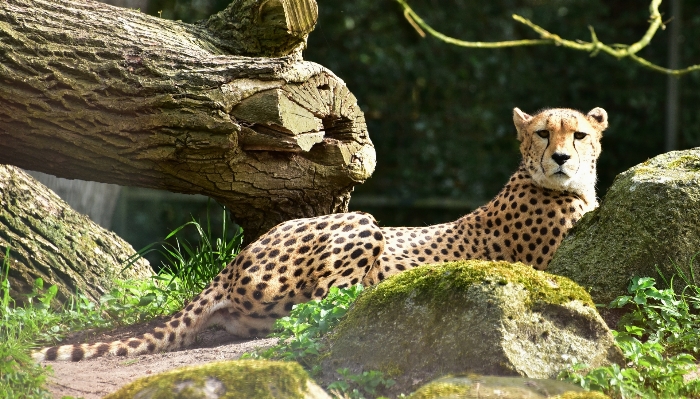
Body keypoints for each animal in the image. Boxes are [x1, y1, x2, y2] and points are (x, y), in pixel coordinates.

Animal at [32, 106, 608, 362]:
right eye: (543, 133)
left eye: (579, 134)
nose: (562, 157)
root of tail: (234, 261)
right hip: (361, 223)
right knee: (325, 305)